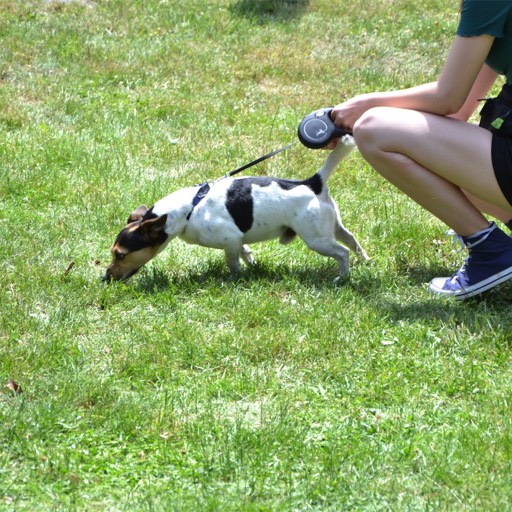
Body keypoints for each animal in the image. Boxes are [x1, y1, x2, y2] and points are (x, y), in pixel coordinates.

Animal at [103, 134, 368, 282]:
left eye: (120, 254)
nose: (105, 278)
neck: (188, 209)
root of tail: (313, 182)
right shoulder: (238, 240)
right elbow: (245, 252)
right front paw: (252, 264)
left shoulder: (229, 240)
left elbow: (232, 262)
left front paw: (235, 278)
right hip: (333, 227)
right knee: (352, 240)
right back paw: (365, 261)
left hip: (316, 239)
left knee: (343, 252)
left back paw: (342, 278)